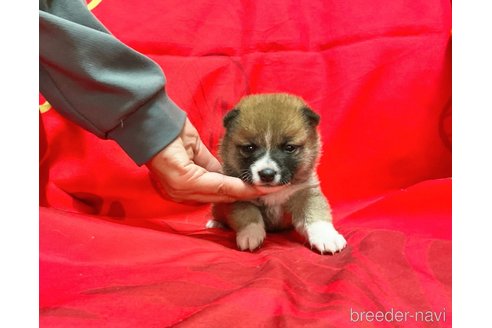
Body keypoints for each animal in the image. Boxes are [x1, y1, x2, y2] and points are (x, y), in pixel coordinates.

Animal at [210, 93, 346, 255]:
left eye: (289, 147)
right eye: (249, 148)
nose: (267, 174)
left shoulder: (305, 193)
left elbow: (315, 214)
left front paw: (326, 237)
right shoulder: (239, 199)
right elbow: (248, 215)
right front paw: (250, 234)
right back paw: (215, 223)